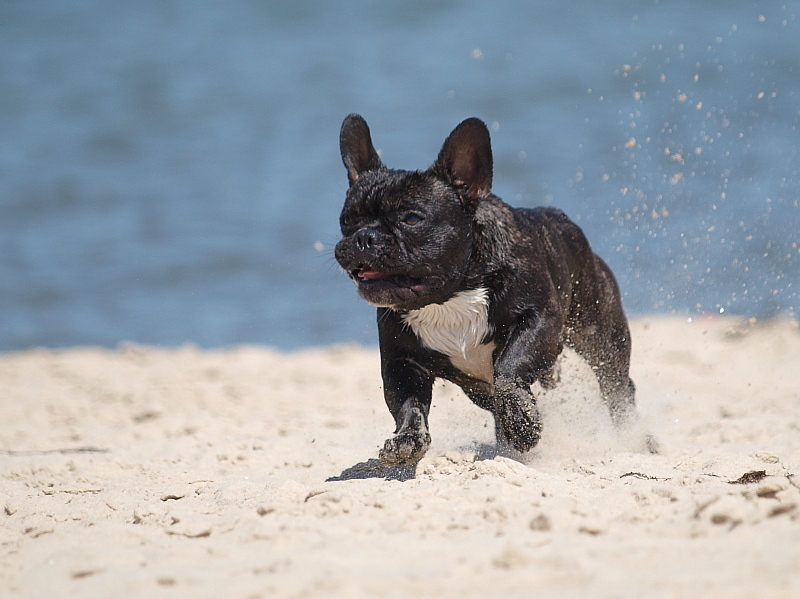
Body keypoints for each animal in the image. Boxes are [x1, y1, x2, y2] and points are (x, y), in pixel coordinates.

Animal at [334, 113, 640, 468]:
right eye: (347, 220)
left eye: (411, 219)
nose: (364, 237)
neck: (449, 298)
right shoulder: (402, 363)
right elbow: (407, 405)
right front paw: (407, 440)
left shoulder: (539, 320)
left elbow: (509, 369)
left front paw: (523, 424)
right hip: (478, 388)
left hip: (600, 334)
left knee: (617, 387)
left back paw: (634, 438)